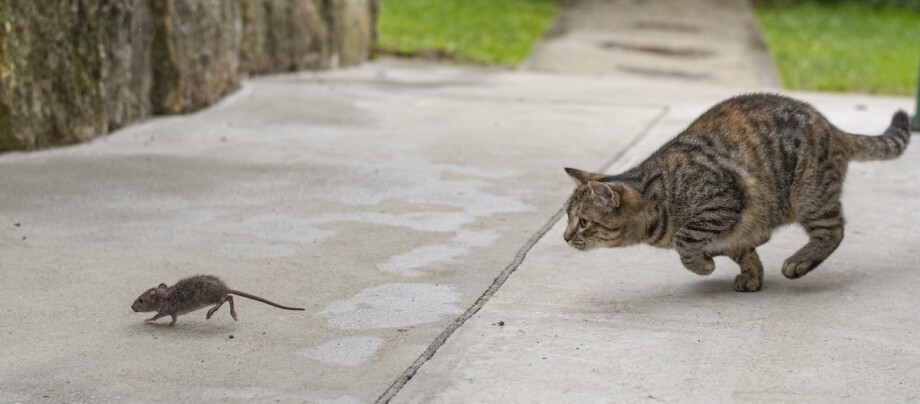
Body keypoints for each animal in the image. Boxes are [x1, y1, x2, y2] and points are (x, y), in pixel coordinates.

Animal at [564, 93, 908, 292]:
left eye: (583, 222)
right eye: (567, 219)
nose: (565, 237)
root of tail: (831, 127)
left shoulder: (722, 203)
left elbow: (686, 242)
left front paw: (703, 265)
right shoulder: (734, 231)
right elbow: (742, 250)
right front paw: (751, 274)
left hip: (809, 195)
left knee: (833, 230)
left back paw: (800, 261)